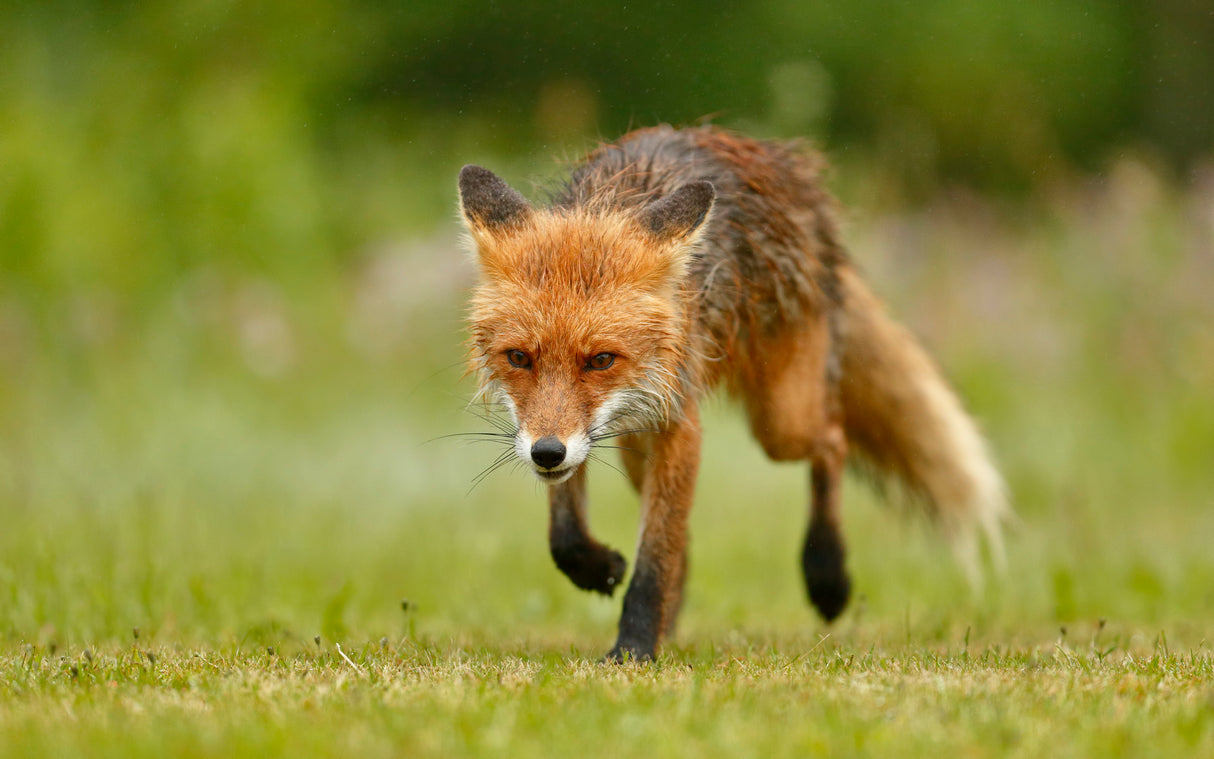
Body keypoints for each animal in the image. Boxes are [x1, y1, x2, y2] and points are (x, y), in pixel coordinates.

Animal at [458, 125, 1008, 662]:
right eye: (519, 358)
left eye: (601, 360)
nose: (546, 454)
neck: (613, 199)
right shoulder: (576, 431)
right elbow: (568, 535)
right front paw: (601, 570)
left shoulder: (678, 423)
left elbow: (654, 557)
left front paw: (633, 649)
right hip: (638, 444)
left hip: (781, 421)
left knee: (832, 439)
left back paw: (827, 575)